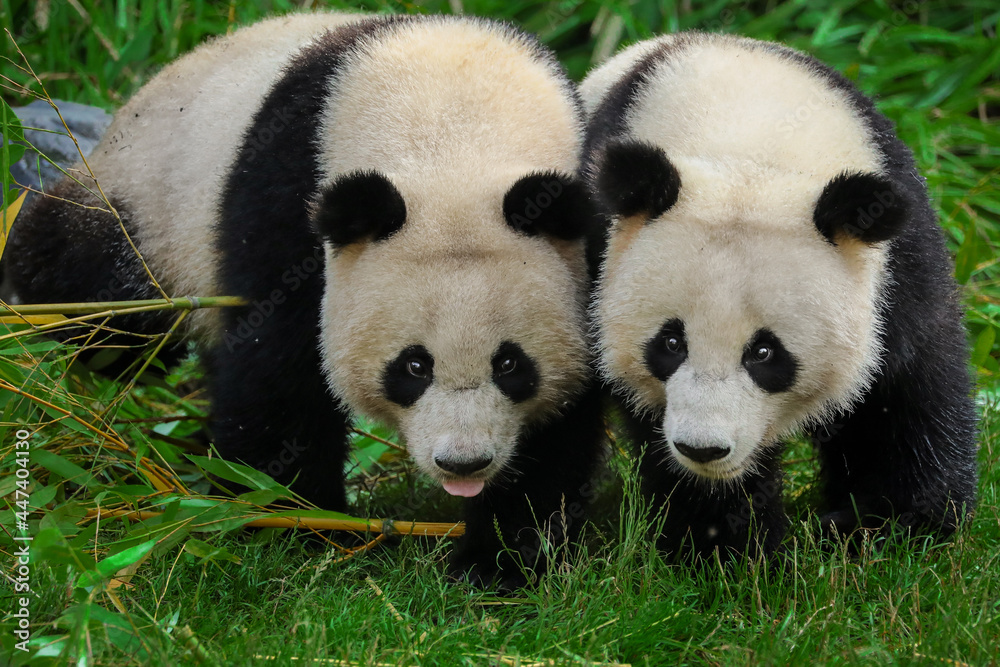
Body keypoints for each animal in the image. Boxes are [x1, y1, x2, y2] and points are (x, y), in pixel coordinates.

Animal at [5, 12, 606, 587]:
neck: (454, 127)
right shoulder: (289, 193)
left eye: (511, 365)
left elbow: (567, 414)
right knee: (98, 304)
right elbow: (279, 364)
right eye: (413, 366)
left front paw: (500, 557)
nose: (463, 463)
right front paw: (298, 520)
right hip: (143, 210)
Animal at [579, 32, 977, 558]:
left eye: (765, 352)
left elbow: (904, 387)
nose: (703, 448)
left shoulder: (901, 260)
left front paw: (895, 526)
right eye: (670, 343)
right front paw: (724, 545)